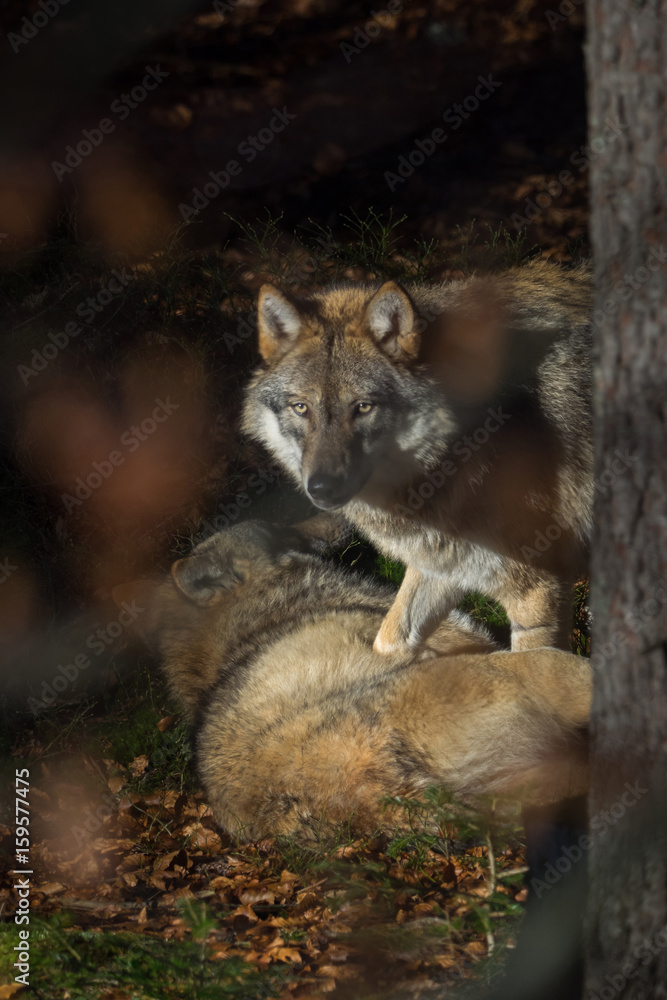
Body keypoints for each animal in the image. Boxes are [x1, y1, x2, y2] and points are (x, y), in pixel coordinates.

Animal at [242, 260, 593, 656]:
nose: (322, 488)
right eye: (301, 407)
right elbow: (390, 639)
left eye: (363, 407)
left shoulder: (538, 591)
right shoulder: (443, 563)